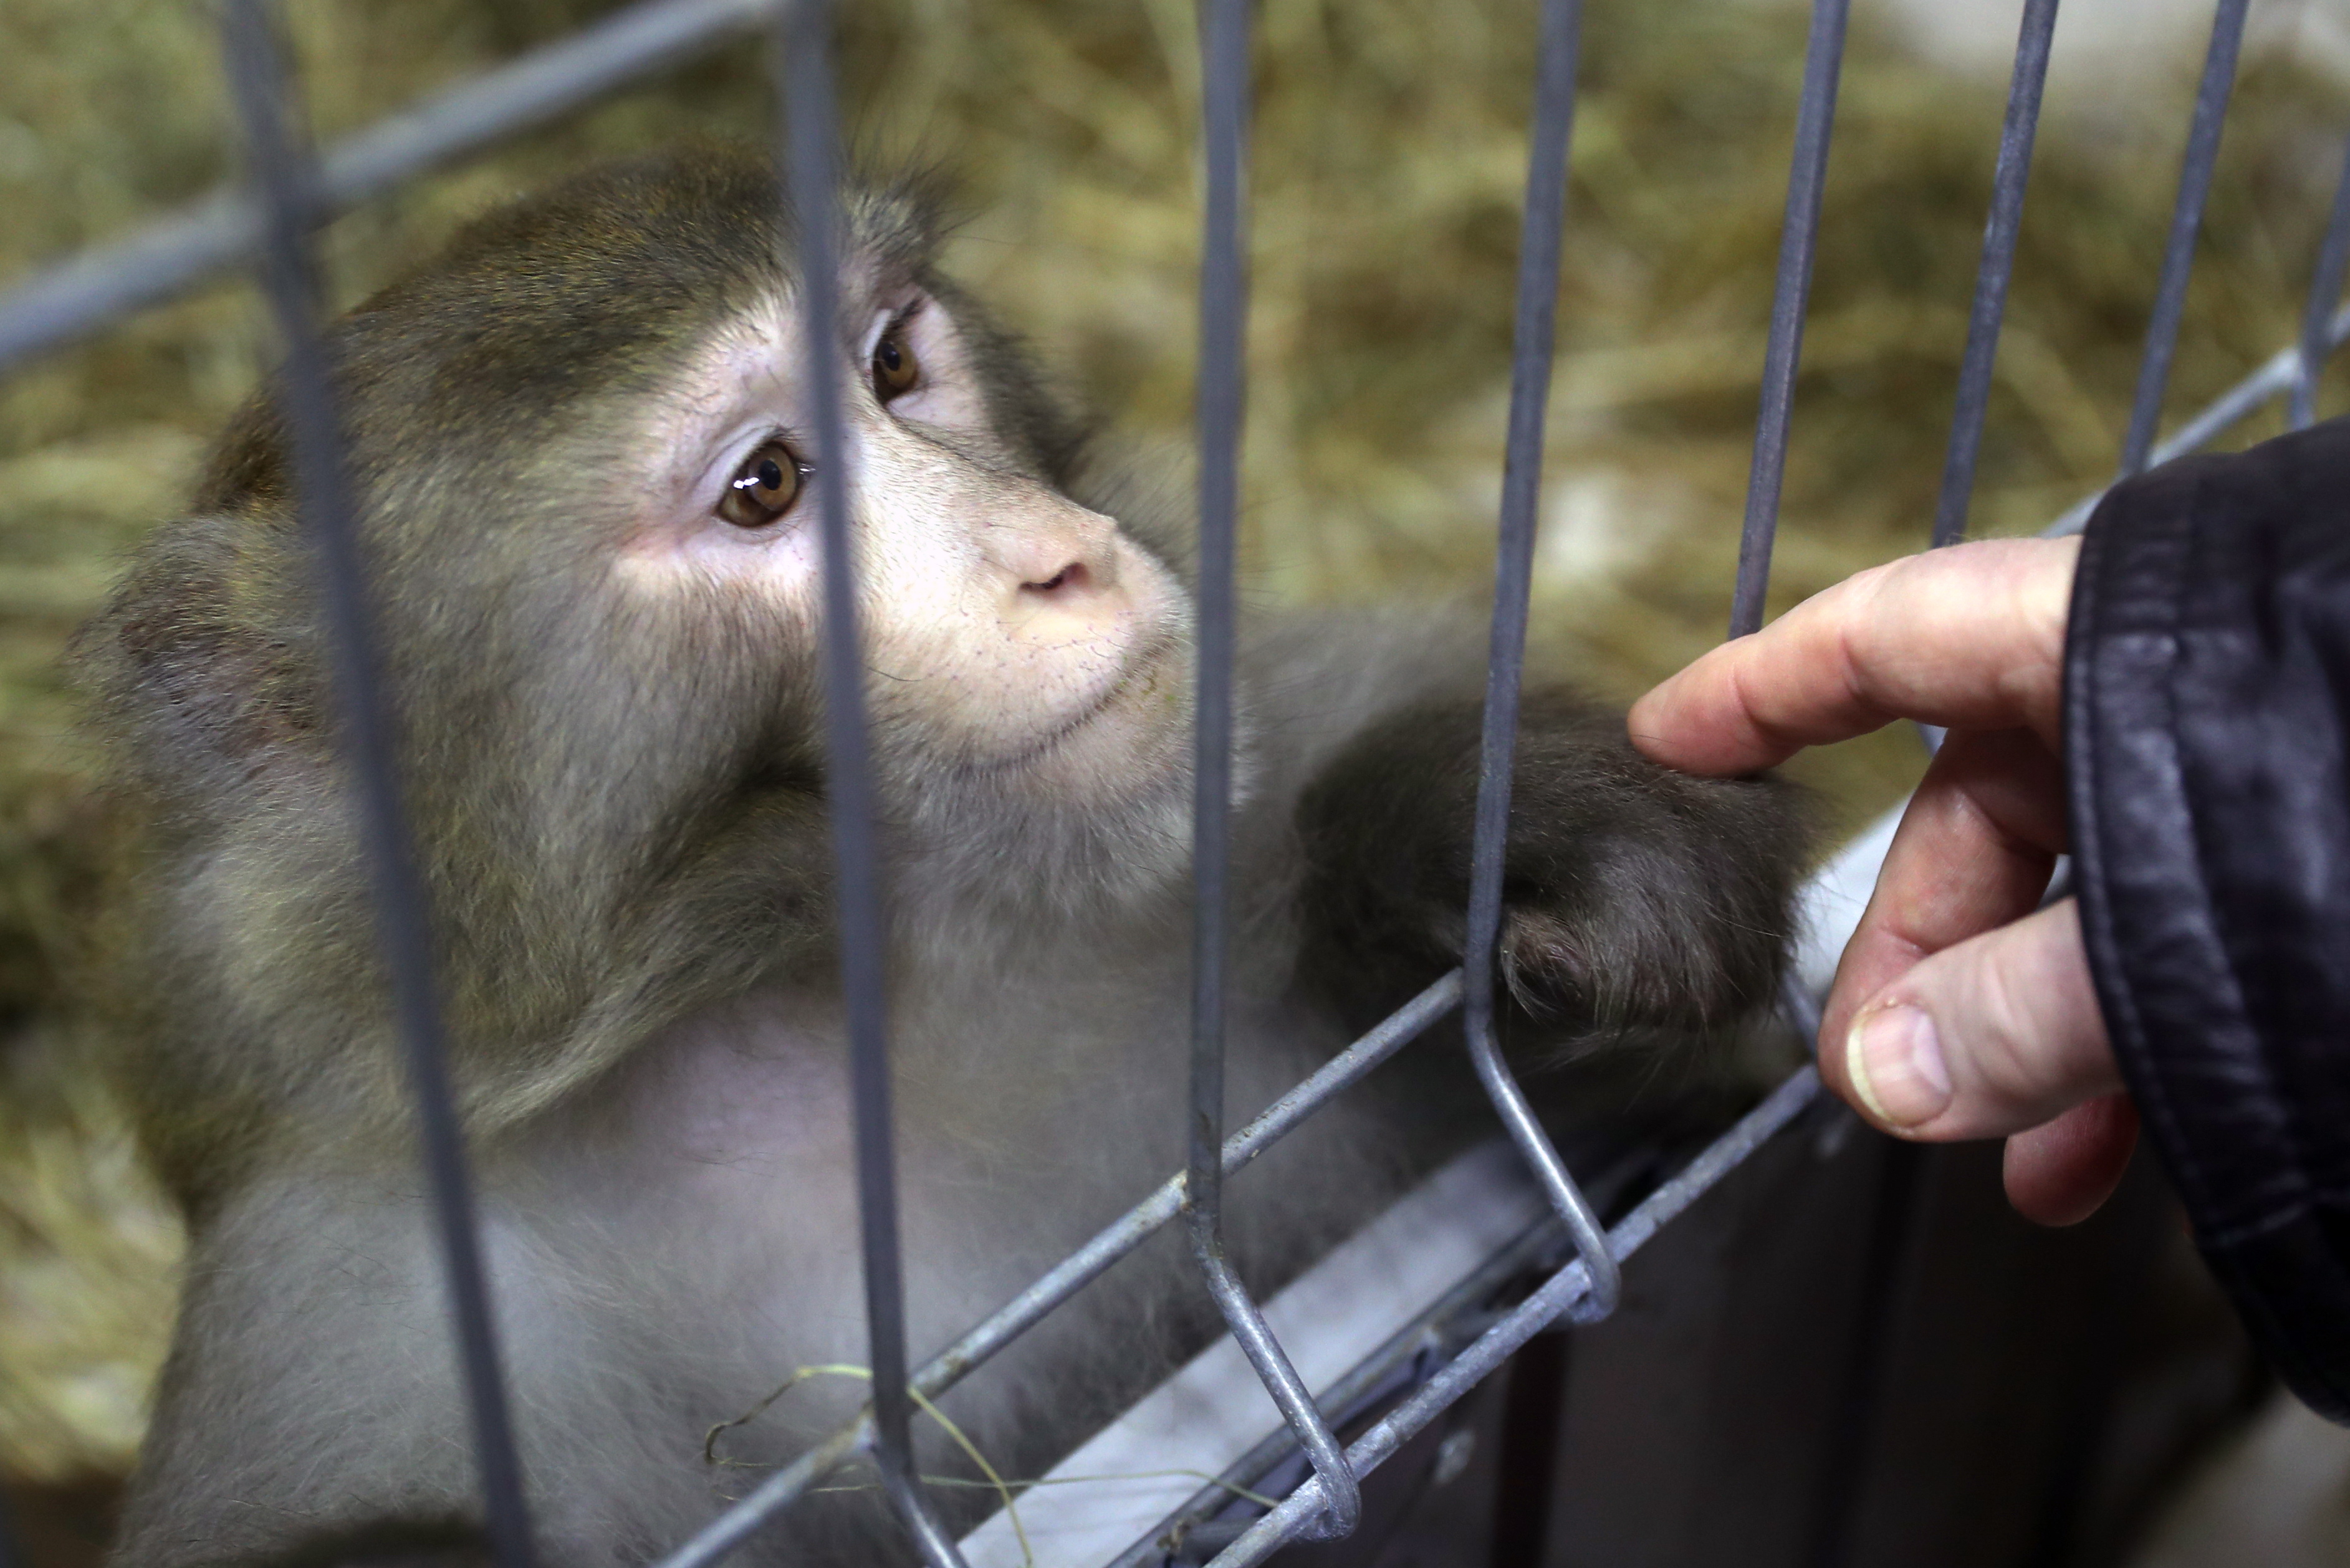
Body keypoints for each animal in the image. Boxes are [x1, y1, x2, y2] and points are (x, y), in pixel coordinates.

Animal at [73, 144, 1795, 1561]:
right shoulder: (370, 1298)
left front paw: (1532, 835)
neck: (836, 1004)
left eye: (895, 363)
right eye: (765, 486)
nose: (1059, 562)